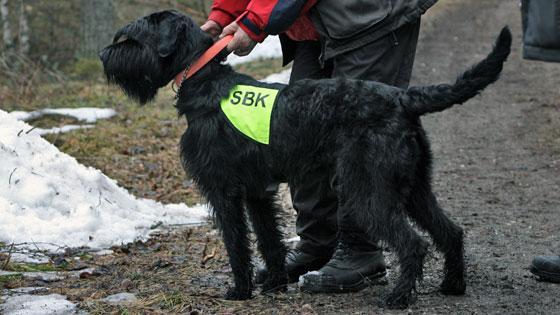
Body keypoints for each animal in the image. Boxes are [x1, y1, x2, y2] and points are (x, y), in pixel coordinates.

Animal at [100, 11, 512, 310]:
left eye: (132, 38)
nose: (105, 54)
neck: (205, 83)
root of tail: (402, 99)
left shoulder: (224, 191)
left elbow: (237, 243)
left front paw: (240, 290)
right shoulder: (258, 192)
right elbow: (269, 240)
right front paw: (275, 281)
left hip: (368, 191)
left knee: (412, 243)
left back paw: (396, 298)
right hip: (413, 188)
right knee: (450, 231)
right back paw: (453, 285)